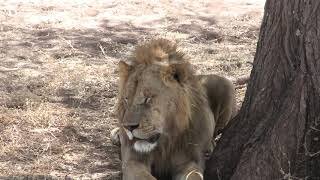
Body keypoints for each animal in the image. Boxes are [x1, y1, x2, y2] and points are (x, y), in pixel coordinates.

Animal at [111, 38, 236, 179]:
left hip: (226, 84)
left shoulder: (189, 161)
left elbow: (193, 175)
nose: (128, 127)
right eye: (126, 99)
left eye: (148, 98)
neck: (166, 142)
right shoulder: (132, 161)